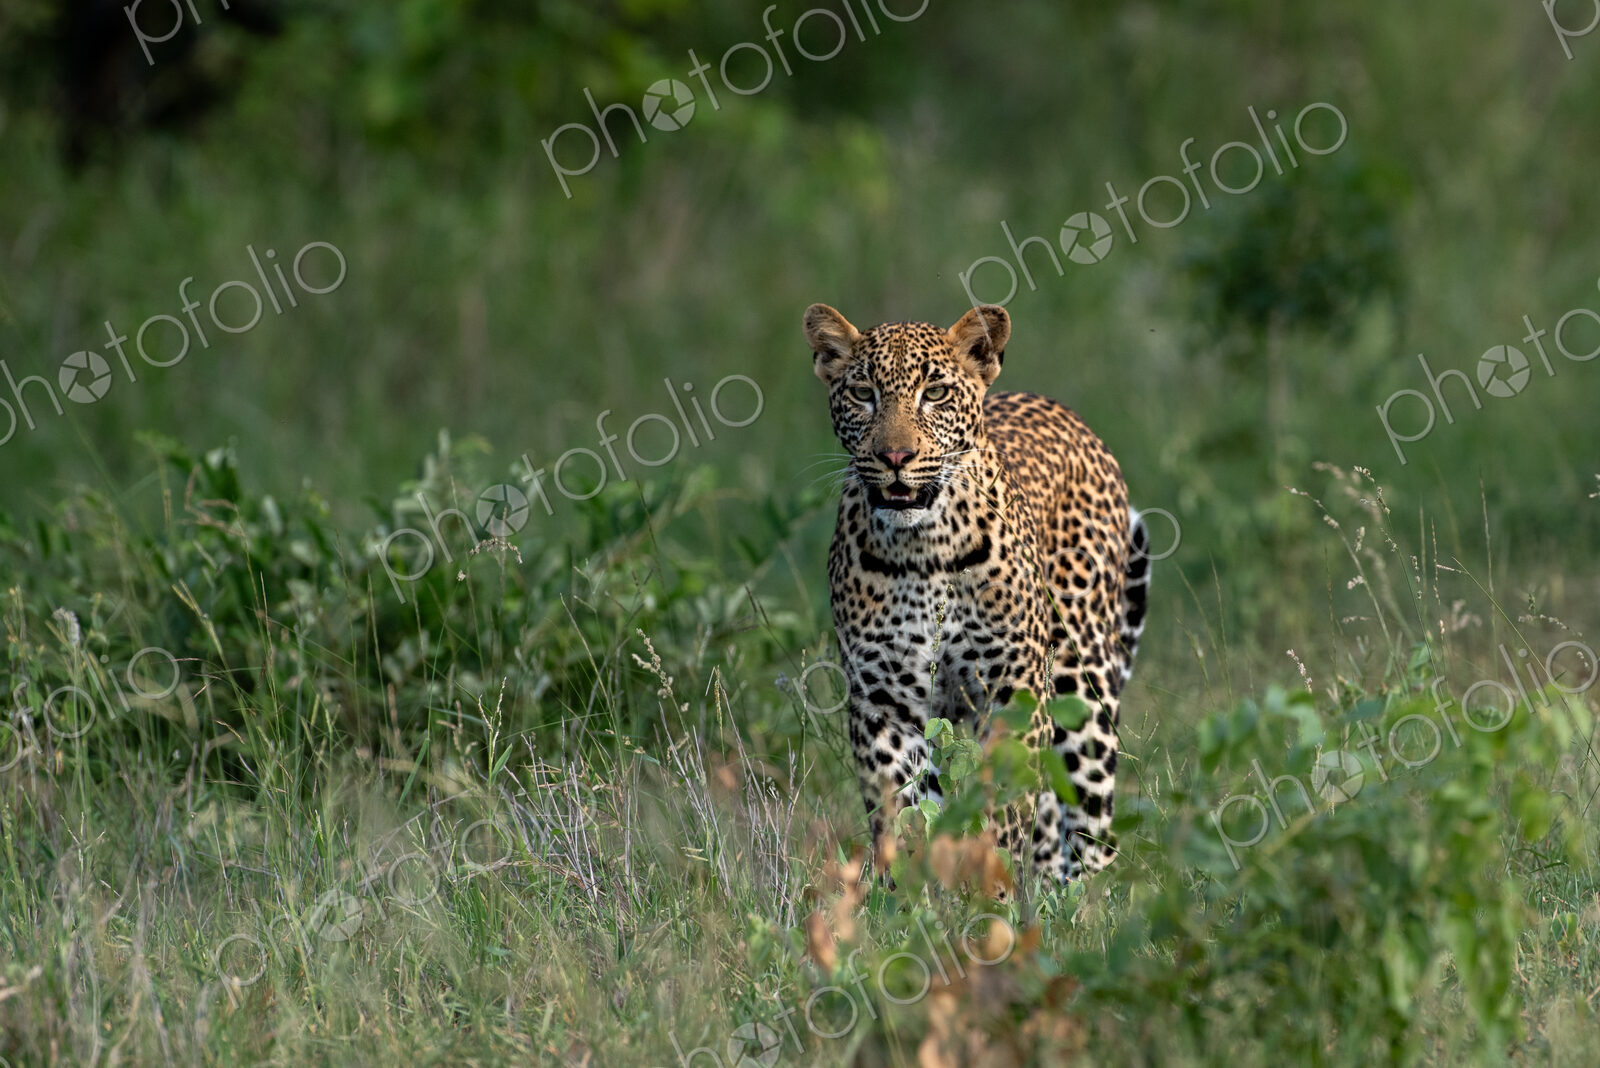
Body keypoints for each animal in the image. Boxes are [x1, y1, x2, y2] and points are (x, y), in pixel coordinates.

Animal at [803, 301, 1150, 883]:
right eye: (863, 393)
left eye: (936, 392)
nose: (895, 456)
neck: (923, 548)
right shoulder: (884, 702)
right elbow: (903, 814)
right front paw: (913, 897)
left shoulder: (1013, 690)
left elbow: (1005, 811)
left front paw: (993, 891)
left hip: (1084, 689)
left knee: (1088, 829)